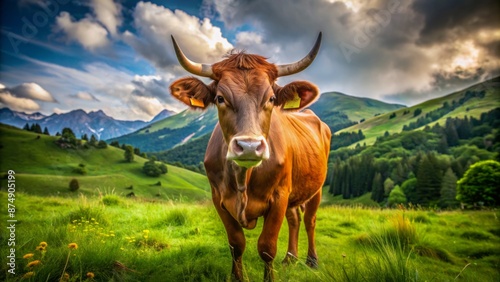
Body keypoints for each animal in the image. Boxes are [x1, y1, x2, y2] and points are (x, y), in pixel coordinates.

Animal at [169, 32, 332, 280]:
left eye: (272, 99)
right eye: (220, 98)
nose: (248, 146)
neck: (242, 176)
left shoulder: (279, 196)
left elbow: (266, 247)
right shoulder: (218, 198)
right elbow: (236, 244)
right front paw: (237, 276)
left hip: (316, 187)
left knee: (309, 220)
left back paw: (311, 261)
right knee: (294, 219)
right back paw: (290, 259)